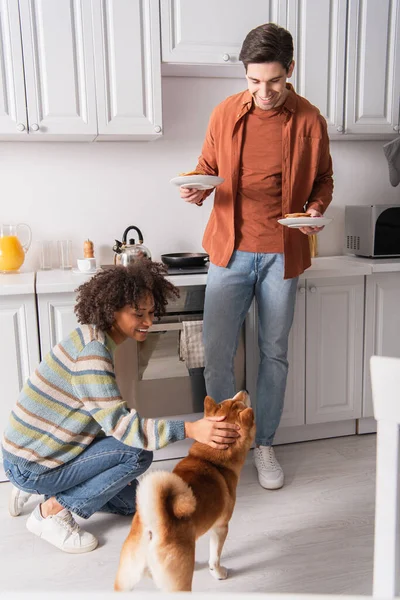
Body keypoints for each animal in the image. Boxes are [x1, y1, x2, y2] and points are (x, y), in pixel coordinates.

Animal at [114, 390, 255, 592]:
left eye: (232, 400)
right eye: (240, 403)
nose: (245, 391)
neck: (212, 460)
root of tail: (155, 528)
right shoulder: (221, 527)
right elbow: (215, 557)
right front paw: (218, 573)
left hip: (125, 578)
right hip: (179, 586)